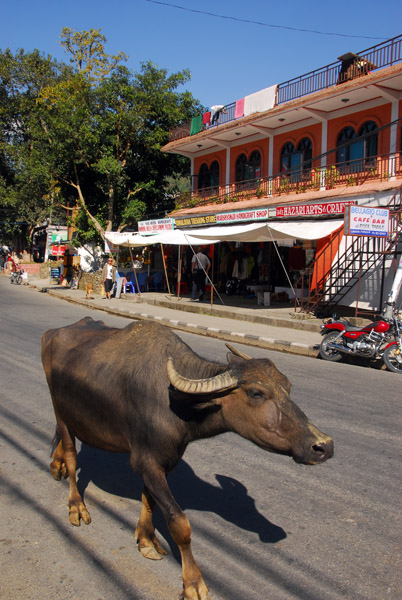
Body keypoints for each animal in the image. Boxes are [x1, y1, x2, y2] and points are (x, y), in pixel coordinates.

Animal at [42, 316, 334, 596]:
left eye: (287, 387)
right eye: (256, 393)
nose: (324, 446)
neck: (177, 404)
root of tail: (52, 333)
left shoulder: (163, 461)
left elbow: (149, 499)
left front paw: (146, 540)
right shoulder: (145, 462)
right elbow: (179, 522)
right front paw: (193, 583)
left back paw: (57, 465)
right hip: (60, 410)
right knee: (72, 453)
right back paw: (75, 505)